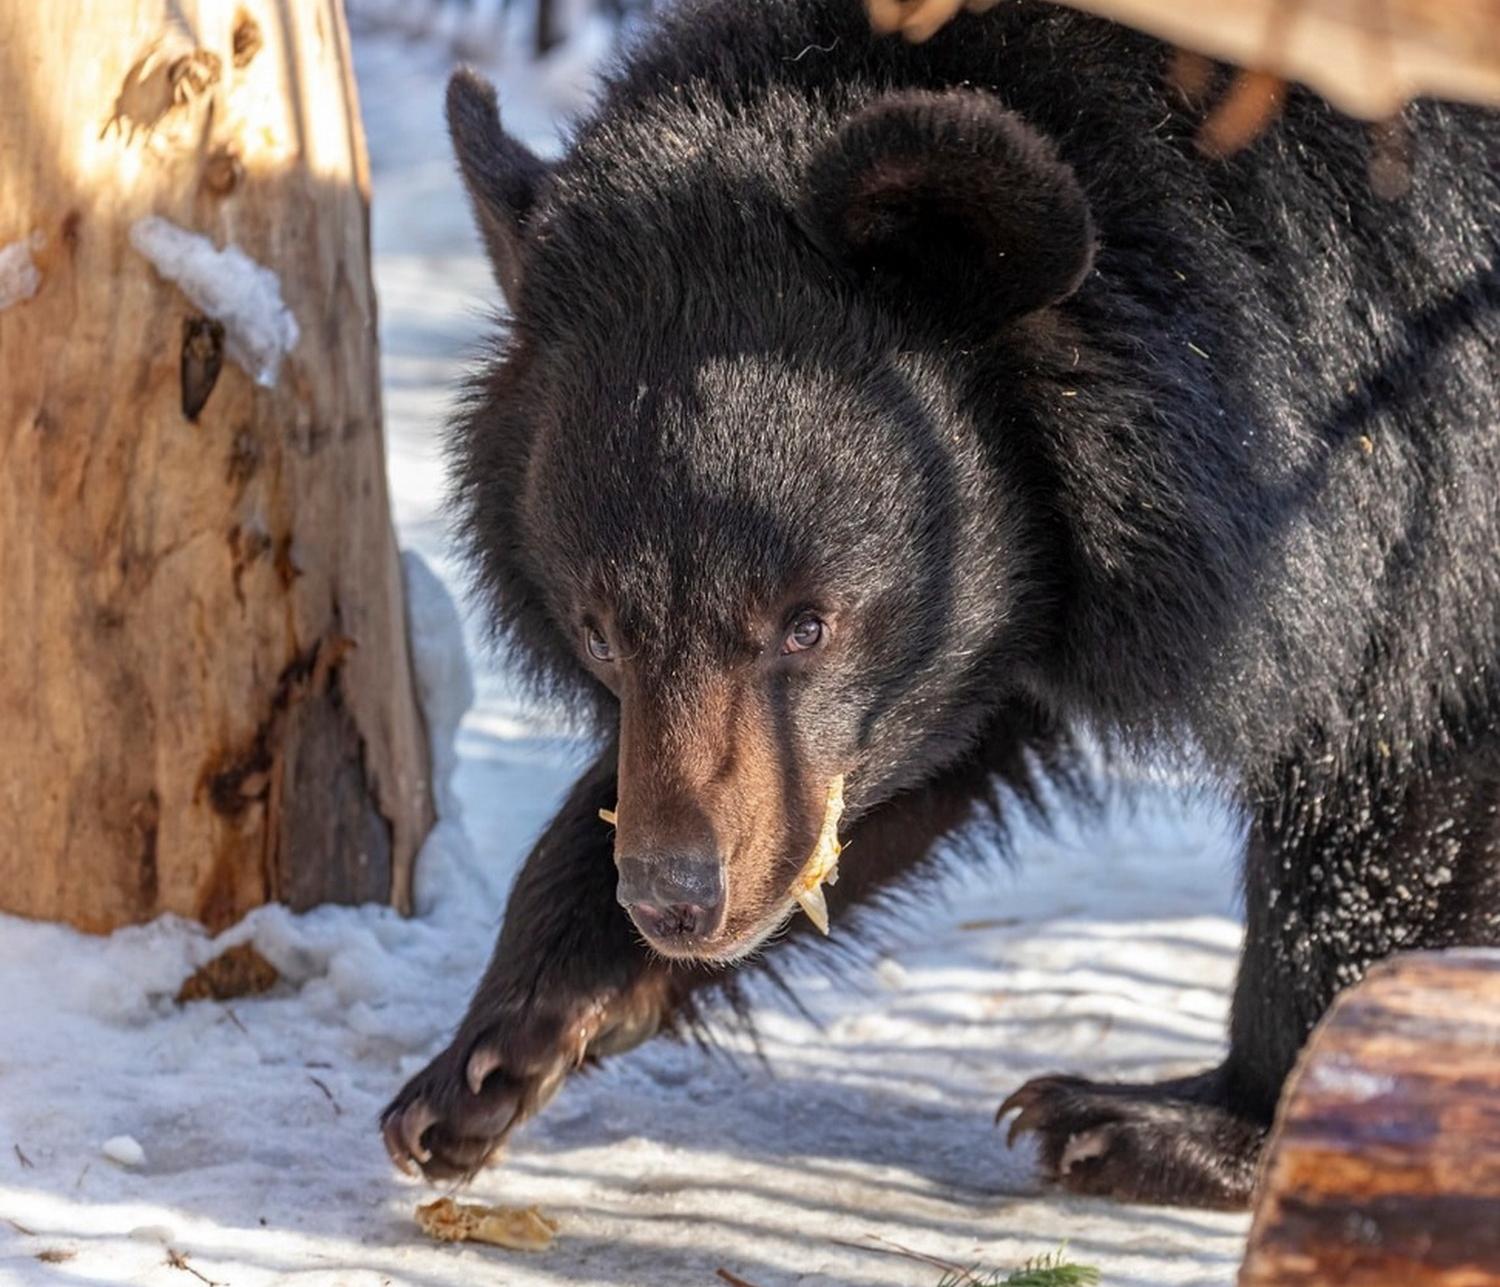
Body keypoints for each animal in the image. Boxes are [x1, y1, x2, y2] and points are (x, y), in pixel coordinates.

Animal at [378, 0, 1500, 1206]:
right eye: (600, 633)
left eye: (809, 621)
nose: (675, 900)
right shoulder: (990, 625)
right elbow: (909, 762)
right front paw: (483, 1065)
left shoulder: (1416, 476)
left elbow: (1401, 754)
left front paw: (1187, 1123)